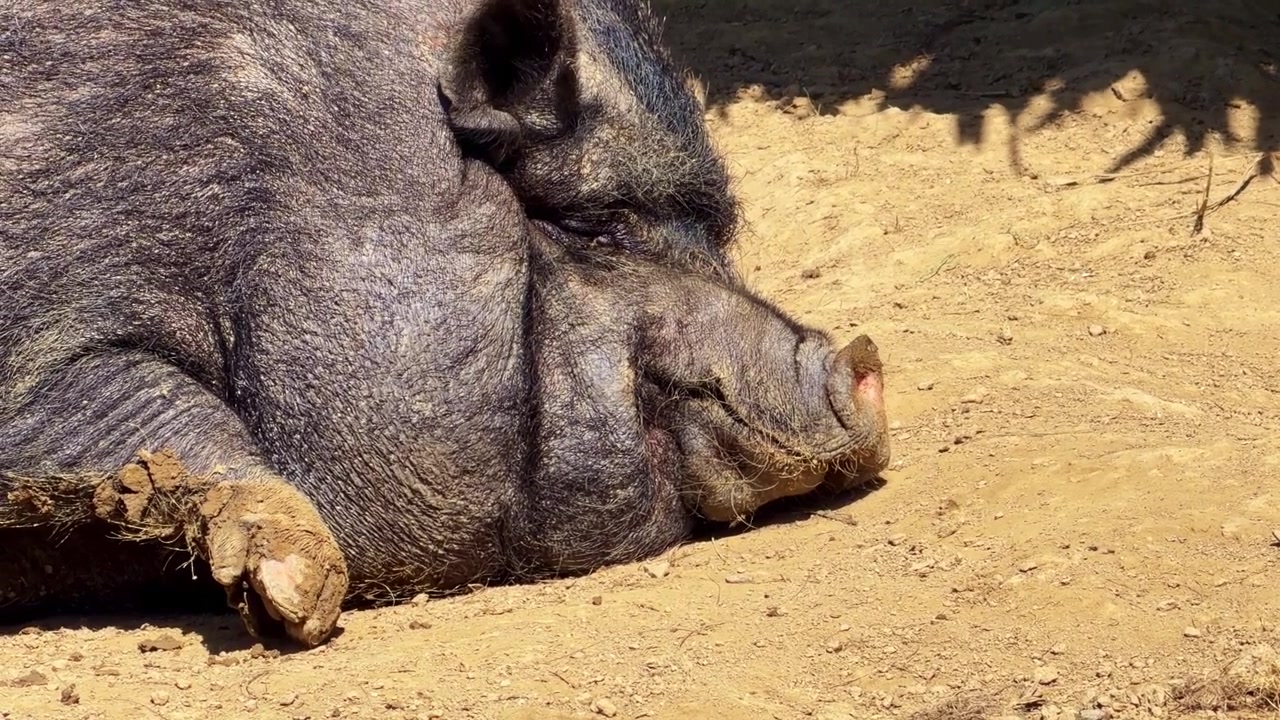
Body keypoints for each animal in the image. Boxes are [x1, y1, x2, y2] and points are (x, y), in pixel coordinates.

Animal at [0, 0, 892, 647]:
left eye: (717, 233)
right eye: (602, 225)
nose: (862, 360)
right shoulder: (46, 333)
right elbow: (147, 410)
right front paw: (297, 598)